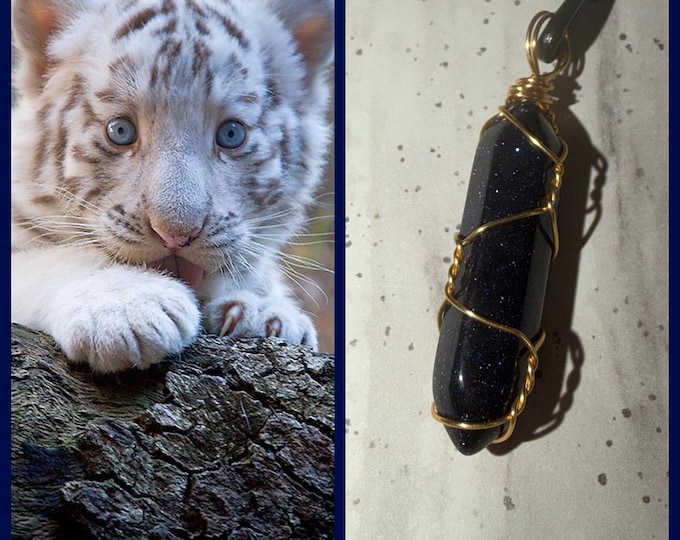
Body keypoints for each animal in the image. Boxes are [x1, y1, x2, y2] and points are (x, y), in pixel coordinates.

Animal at [11, 0, 334, 373]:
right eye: (120, 130)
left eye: (231, 134)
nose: (177, 235)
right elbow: (62, 257)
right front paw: (125, 307)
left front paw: (264, 312)